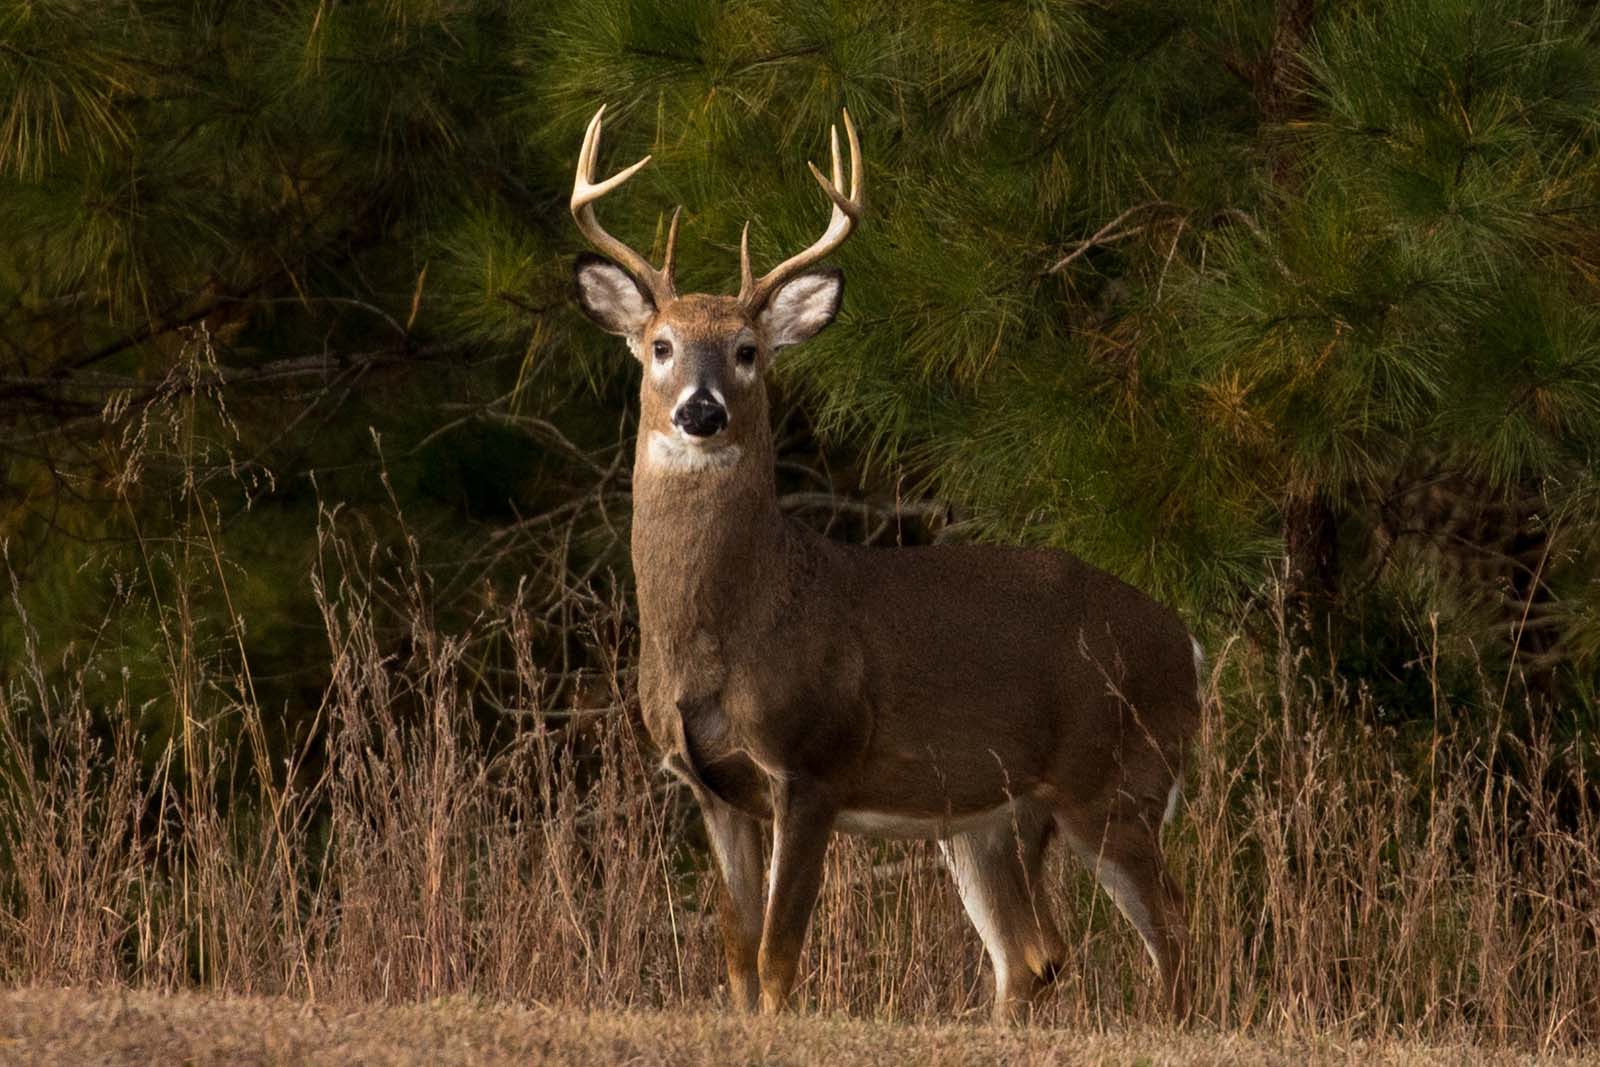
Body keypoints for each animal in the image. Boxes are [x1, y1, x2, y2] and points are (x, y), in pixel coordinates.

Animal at [569, 104, 1205, 1024]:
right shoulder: (710, 787)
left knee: (1171, 930)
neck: (726, 627)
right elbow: (735, 959)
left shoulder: (813, 762)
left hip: (1116, 778)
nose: (701, 410)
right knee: (1034, 951)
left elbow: (777, 956)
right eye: (659, 344)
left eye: (748, 349)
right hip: (989, 815)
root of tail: (1186, 643)